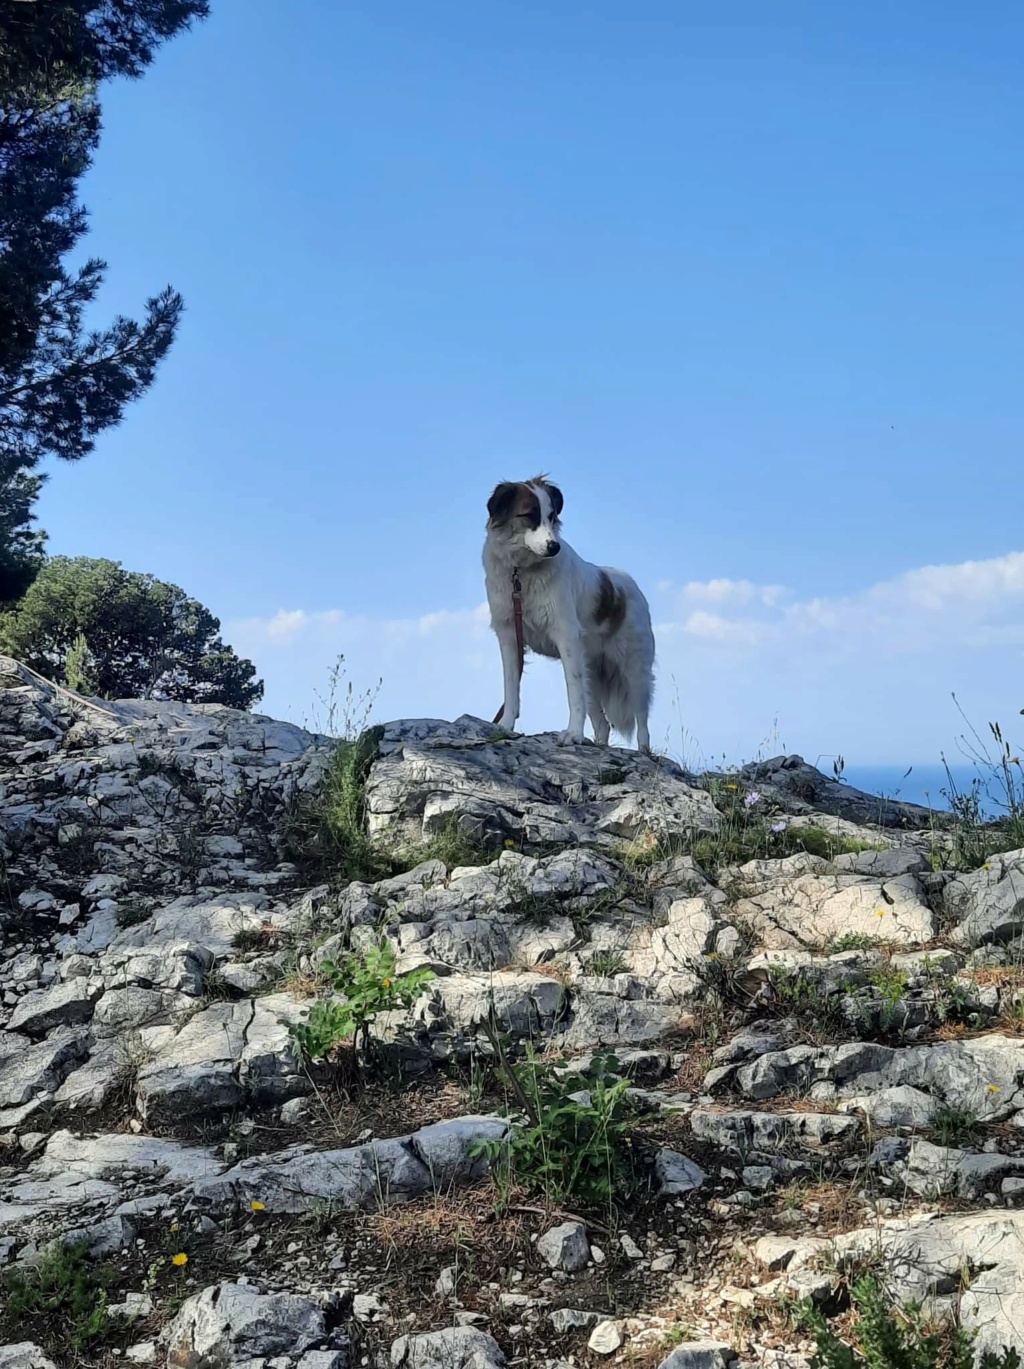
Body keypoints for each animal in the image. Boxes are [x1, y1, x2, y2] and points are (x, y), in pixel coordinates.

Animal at [481, 473, 657, 750]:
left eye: (551, 516)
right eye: (529, 515)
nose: (554, 547)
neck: (521, 572)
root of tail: (629, 583)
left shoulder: (566, 637)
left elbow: (573, 693)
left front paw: (573, 733)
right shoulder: (509, 636)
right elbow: (511, 688)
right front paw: (505, 725)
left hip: (634, 671)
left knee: (642, 721)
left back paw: (643, 752)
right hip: (592, 673)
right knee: (603, 723)